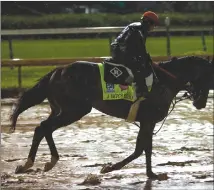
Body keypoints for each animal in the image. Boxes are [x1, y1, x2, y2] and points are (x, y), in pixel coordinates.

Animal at [9, 55, 212, 180]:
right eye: (209, 78)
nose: (201, 103)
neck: (164, 81)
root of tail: (57, 71)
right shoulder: (148, 120)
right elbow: (140, 149)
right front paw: (110, 167)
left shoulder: (148, 121)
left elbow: (145, 148)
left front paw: (151, 174)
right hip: (74, 110)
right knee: (44, 126)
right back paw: (48, 161)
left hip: (60, 109)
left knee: (42, 128)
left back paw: (28, 164)